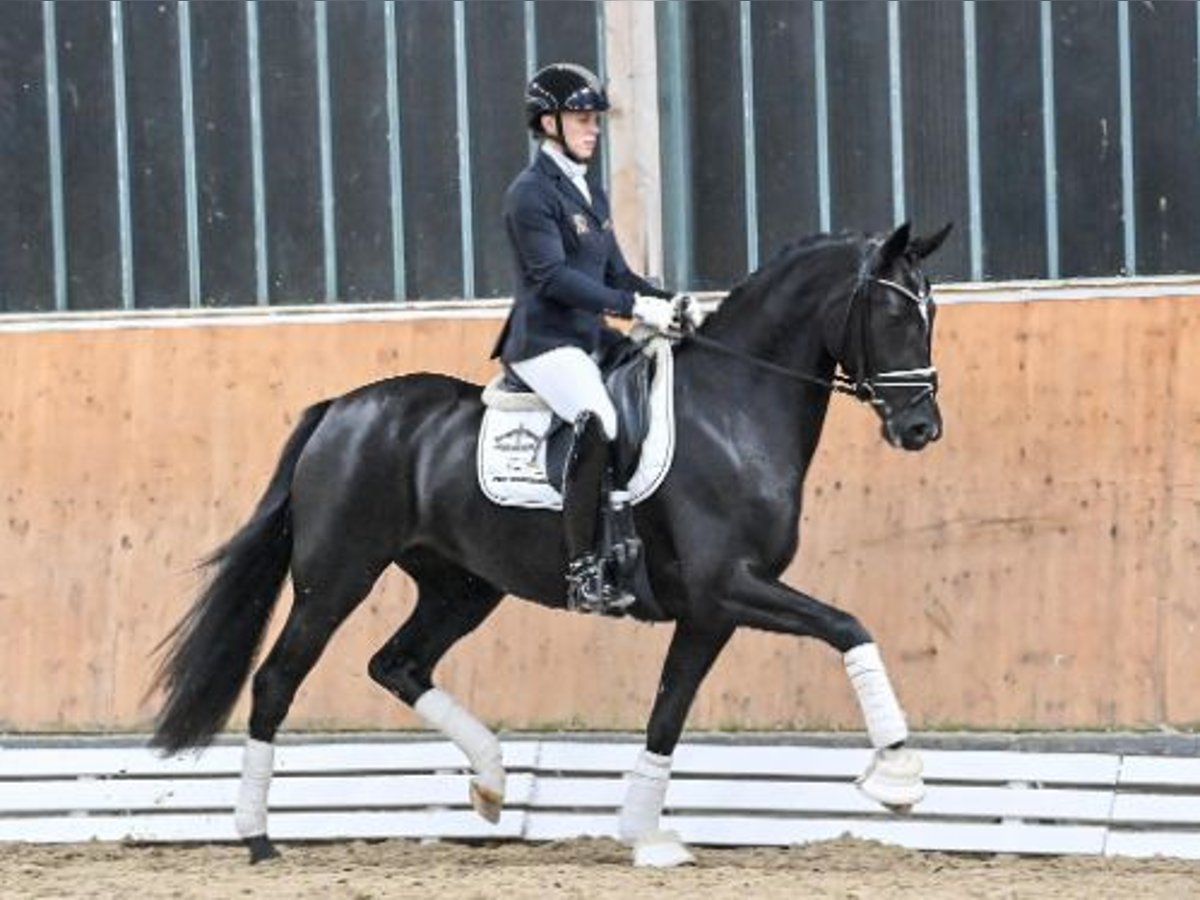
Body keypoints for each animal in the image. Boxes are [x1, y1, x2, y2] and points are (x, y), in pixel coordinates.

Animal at [152, 220, 955, 868]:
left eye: (932, 311)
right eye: (891, 310)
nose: (921, 429)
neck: (734, 408)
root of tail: (339, 410)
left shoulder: (710, 611)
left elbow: (668, 712)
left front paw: (645, 835)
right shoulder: (731, 584)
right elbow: (848, 625)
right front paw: (897, 773)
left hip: (462, 587)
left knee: (398, 663)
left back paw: (491, 781)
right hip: (337, 577)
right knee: (277, 681)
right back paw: (258, 836)